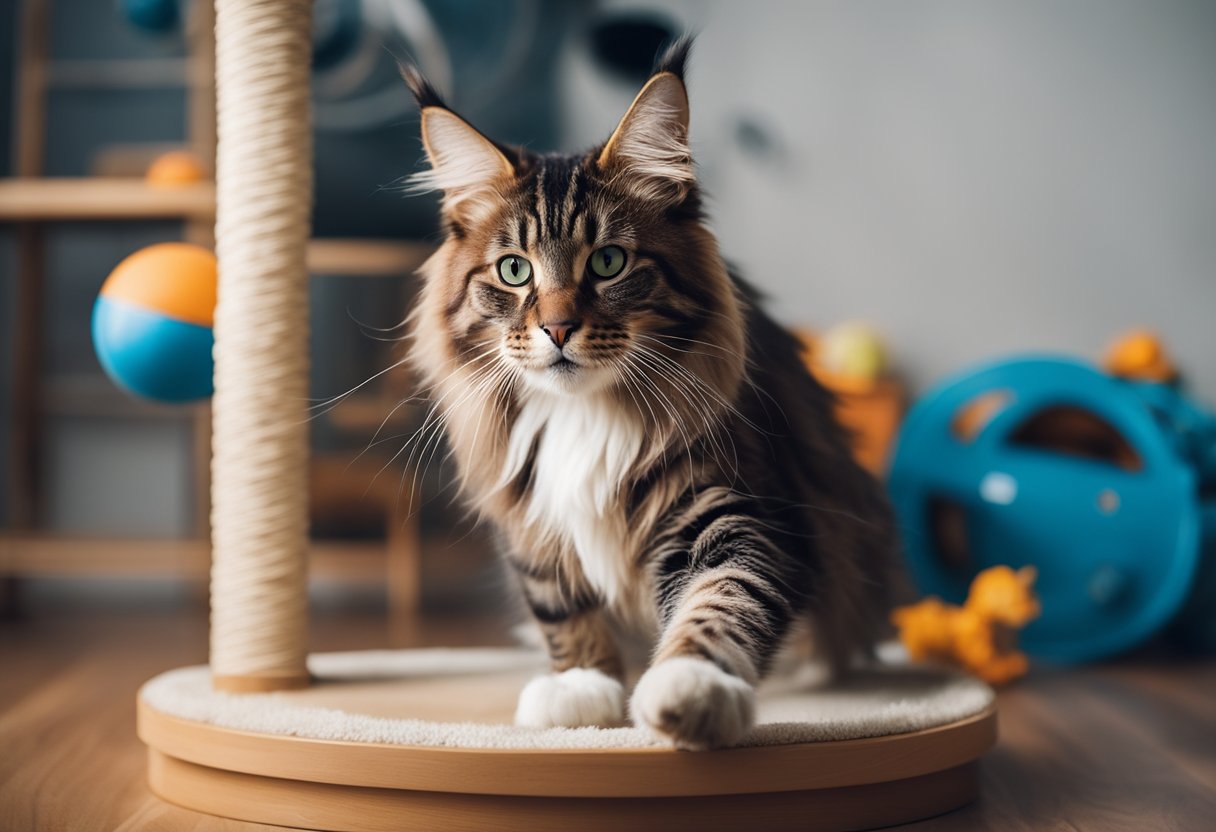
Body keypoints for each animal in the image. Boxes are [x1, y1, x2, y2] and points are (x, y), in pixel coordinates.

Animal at [403, 38, 899, 749]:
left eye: (608, 262)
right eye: (515, 270)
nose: (557, 328)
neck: (583, 416)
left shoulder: (737, 512)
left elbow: (720, 600)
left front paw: (690, 690)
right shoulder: (530, 516)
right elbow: (562, 609)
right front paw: (582, 688)